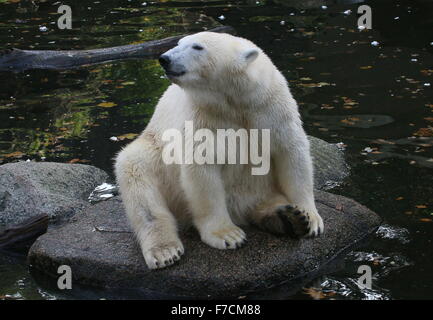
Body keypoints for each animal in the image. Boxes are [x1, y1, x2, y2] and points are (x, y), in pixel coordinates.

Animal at [113, 30, 322, 270]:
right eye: (179, 42)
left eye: (197, 47)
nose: (164, 58)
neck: (235, 101)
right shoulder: (204, 117)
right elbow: (203, 168)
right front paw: (227, 235)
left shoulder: (271, 109)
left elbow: (291, 153)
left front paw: (311, 218)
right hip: (156, 152)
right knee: (137, 174)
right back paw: (165, 251)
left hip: (260, 189)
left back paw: (289, 217)